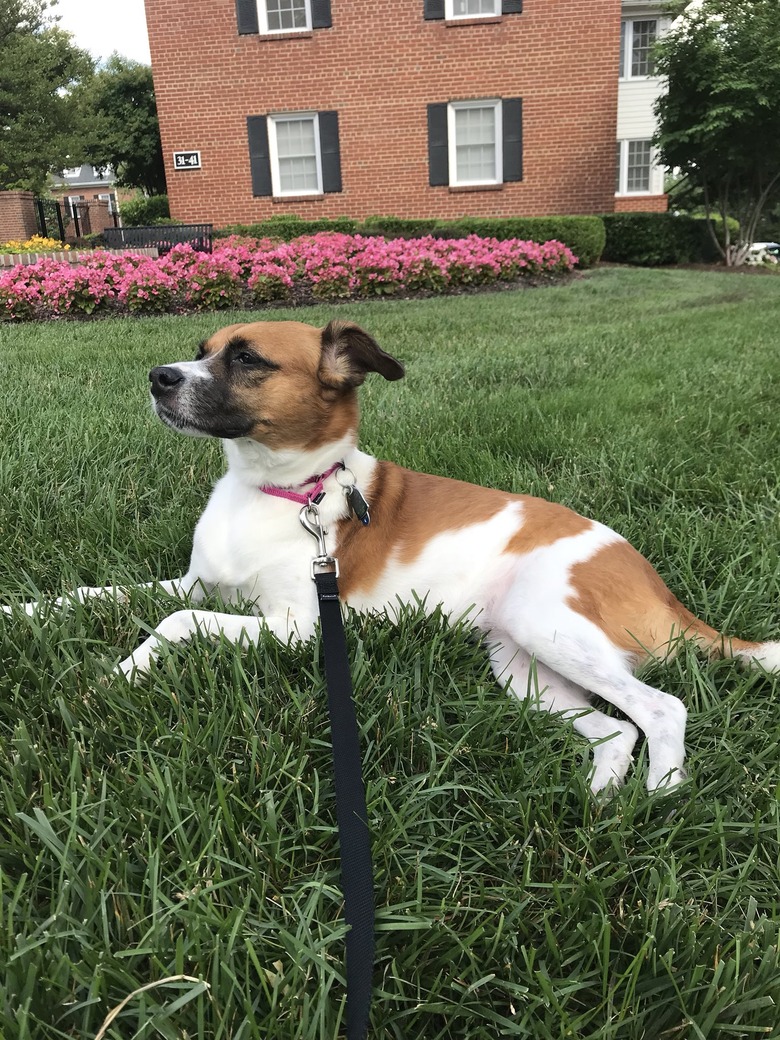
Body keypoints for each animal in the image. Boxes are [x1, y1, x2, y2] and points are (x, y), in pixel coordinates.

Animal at [3, 320, 777, 790]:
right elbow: (95, 597)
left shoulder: (298, 628)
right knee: (616, 732)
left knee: (664, 710)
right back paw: (603, 805)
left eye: (247, 359)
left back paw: (660, 802)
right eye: (203, 346)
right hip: (521, 663)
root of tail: (660, 588)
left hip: (548, 626)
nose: (157, 377)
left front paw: (115, 676)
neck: (279, 492)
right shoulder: (192, 582)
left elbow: (177, 624)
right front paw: (22, 612)